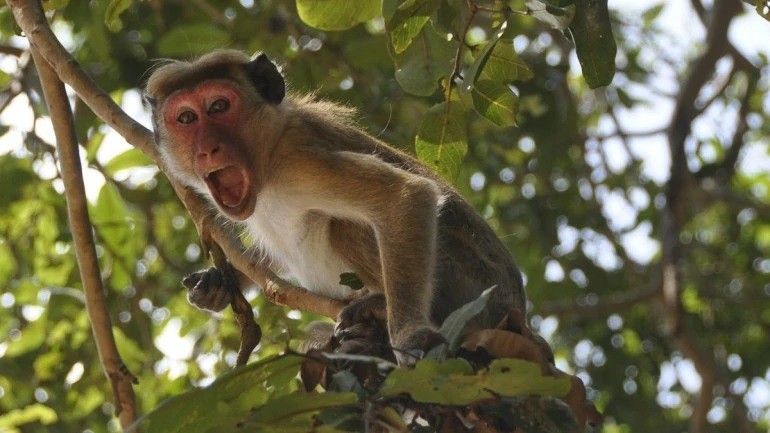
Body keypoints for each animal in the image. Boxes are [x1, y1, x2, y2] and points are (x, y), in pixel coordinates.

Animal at [144, 50, 526, 365]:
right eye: (187, 118)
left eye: (219, 107)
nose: (208, 149)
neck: (266, 162)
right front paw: (219, 281)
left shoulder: (300, 162)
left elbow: (405, 195)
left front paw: (409, 336)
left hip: (474, 294)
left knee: (348, 225)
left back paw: (379, 309)